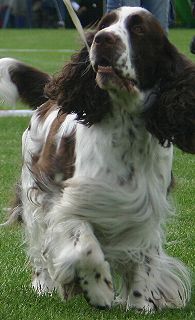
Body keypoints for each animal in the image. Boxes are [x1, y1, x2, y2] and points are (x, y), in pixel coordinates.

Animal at [1, 6, 193, 312]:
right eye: (105, 24)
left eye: (139, 29)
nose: (102, 39)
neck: (125, 129)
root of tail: (49, 98)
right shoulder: (69, 202)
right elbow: (86, 246)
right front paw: (99, 290)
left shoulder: (145, 209)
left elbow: (143, 258)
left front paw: (141, 303)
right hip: (34, 195)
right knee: (39, 245)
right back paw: (44, 285)